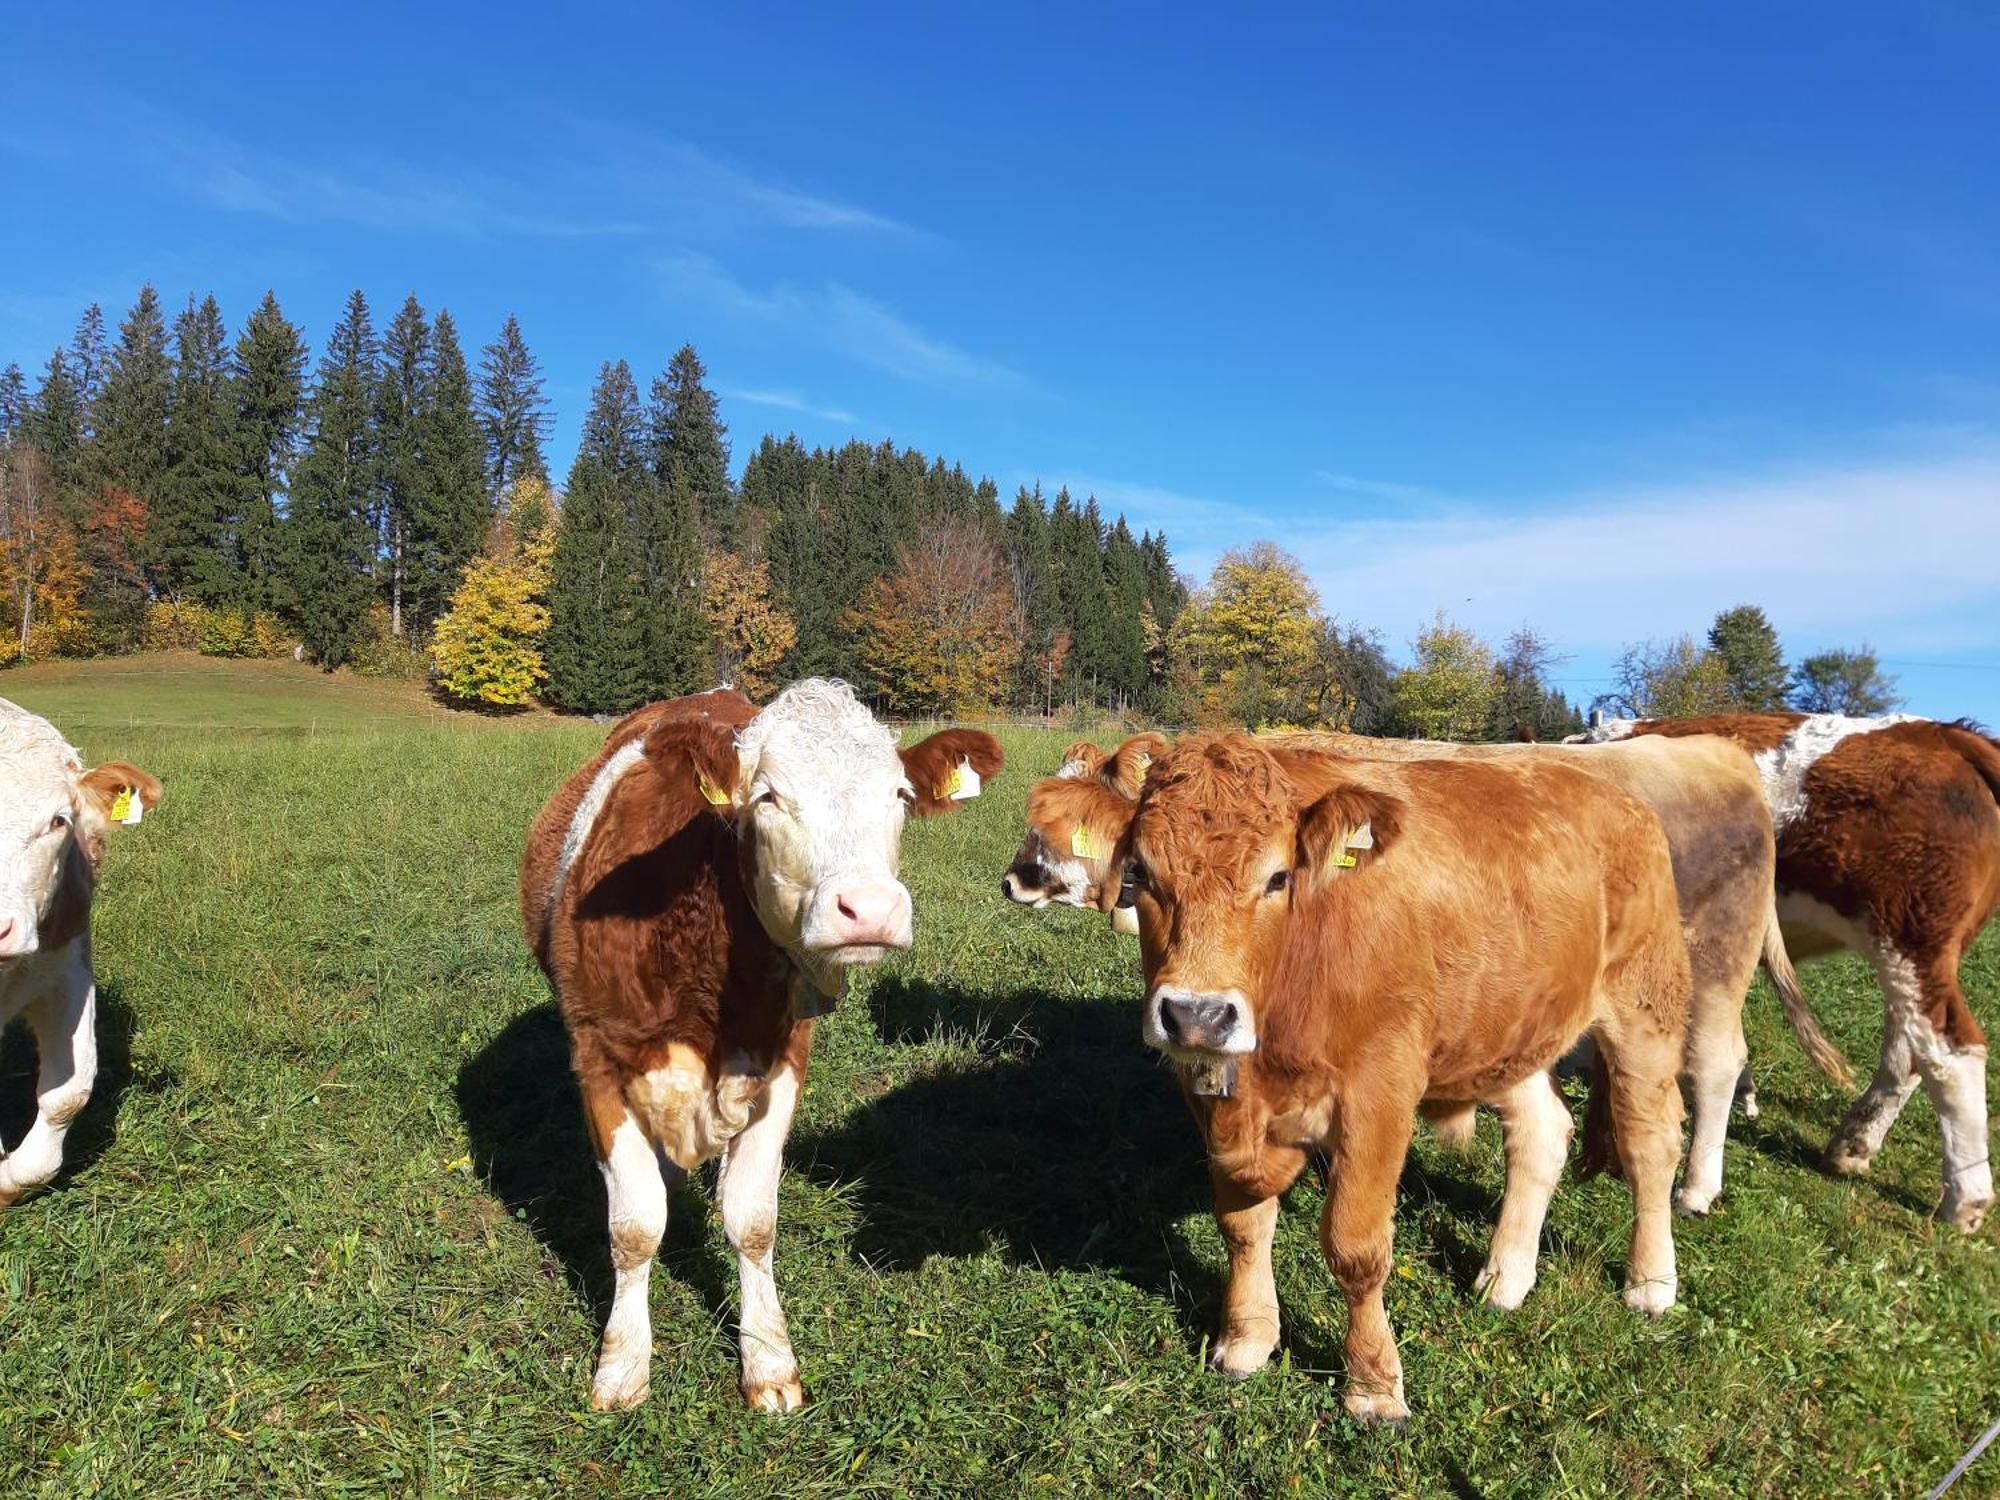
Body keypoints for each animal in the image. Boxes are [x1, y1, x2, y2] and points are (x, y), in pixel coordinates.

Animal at [516, 688, 1000, 1416]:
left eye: (899, 793)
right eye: (767, 796)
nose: (870, 909)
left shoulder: (783, 1060)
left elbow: (752, 1218)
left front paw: (768, 1360)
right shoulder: (596, 1057)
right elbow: (634, 1225)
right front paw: (622, 1367)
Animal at [1008, 736, 1848, 1216]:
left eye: (1055, 828)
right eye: (1142, 867)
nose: (1013, 880)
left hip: (1695, 979)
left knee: (1710, 1071)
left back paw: (1692, 1201)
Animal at [1096, 740, 1688, 1432]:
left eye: (1278, 878)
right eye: (1140, 874)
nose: (1198, 1014)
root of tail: (1609, 791)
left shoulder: (1379, 1093)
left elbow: (1355, 1246)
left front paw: (1374, 1384)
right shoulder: (1211, 1097)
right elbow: (1243, 1225)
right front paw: (1246, 1338)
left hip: (1644, 1006)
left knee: (1650, 1142)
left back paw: (1650, 1282)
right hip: (1511, 1028)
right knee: (1542, 1134)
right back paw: (1505, 1278)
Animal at [1576, 716, 2000, 1232]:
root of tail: (1945, 735)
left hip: (1909, 939)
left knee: (1950, 1053)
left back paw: (1965, 1197)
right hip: (1911, 962)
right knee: (1908, 1052)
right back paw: (1853, 1145)